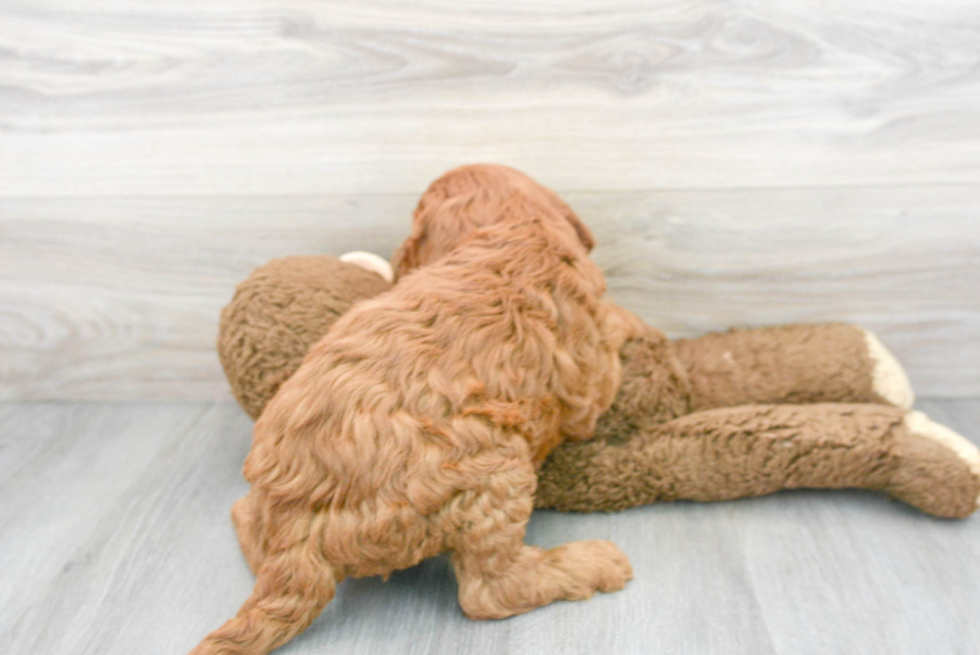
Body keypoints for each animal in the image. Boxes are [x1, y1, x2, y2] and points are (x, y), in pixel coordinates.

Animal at [188, 187, 640, 652]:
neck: (515, 231)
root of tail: (298, 534)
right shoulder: (588, 385)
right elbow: (607, 351)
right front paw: (627, 319)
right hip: (496, 469)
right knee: (491, 590)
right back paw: (591, 562)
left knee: (250, 536)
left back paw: (245, 514)